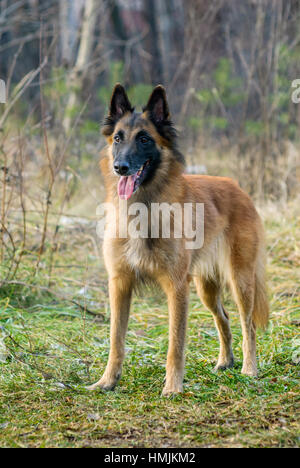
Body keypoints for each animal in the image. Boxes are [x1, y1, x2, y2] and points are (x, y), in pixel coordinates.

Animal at [89, 83, 270, 394]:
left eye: (145, 139)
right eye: (118, 138)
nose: (120, 167)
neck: (143, 209)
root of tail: (237, 187)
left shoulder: (176, 288)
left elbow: (176, 344)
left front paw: (172, 388)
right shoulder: (120, 285)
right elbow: (115, 340)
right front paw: (107, 381)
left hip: (240, 280)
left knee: (248, 325)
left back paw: (249, 369)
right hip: (206, 288)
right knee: (224, 318)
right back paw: (226, 361)